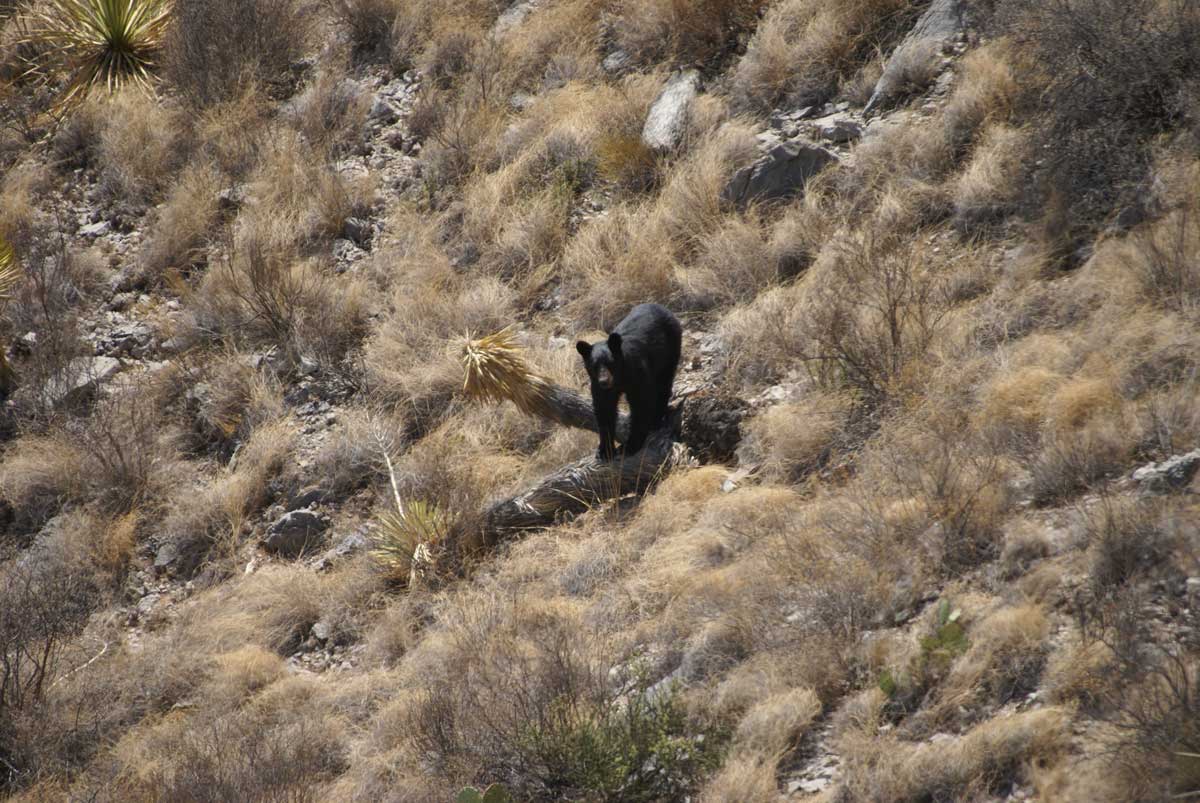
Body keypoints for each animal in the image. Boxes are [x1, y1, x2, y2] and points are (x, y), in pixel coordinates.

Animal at [576, 303, 682, 460]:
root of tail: (661, 307)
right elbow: (604, 410)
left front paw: (630, 446)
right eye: (594, 365)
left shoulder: (637, 374)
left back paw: (656, 420)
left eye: (610, 363)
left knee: (663, 385)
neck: (620, 378)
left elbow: (642, 402)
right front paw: (604, 450)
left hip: (670, 350)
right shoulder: (599, 387)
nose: (604, 381)